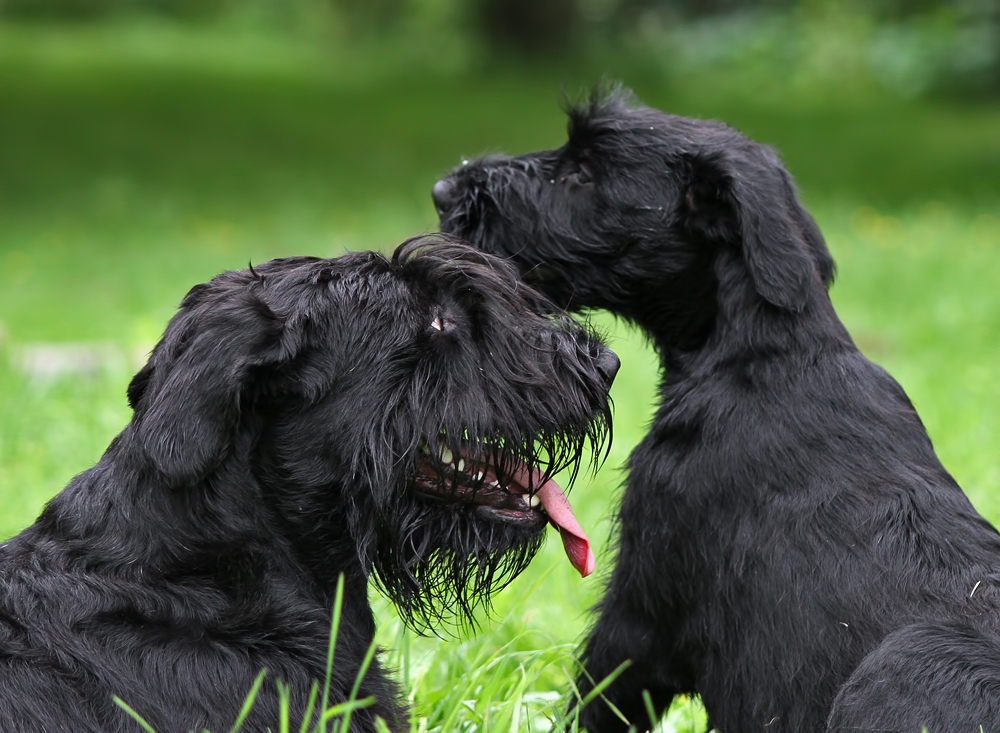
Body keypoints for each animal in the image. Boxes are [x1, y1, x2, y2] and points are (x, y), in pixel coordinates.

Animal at [434, 88, 1000, 728]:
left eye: (582, 173)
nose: (444, 190)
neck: (764, 354)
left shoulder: (640, 607)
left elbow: (596, 696)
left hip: (910, 659)